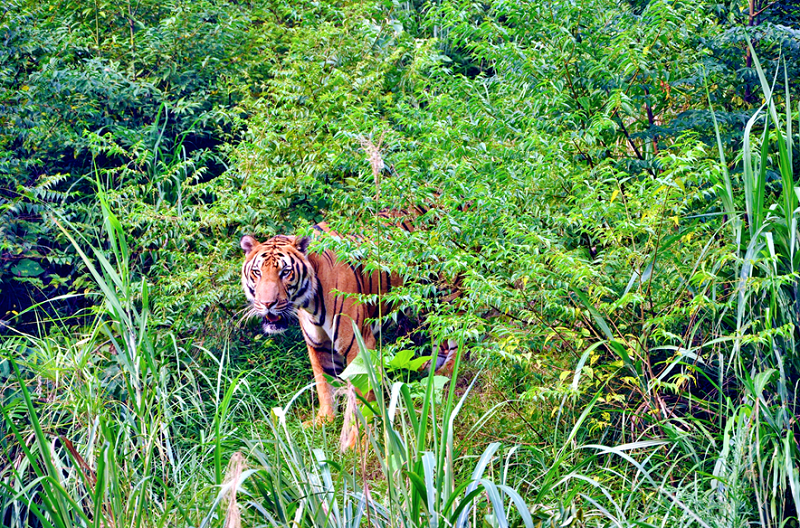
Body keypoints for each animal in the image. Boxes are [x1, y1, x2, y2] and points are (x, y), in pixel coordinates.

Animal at [240, 222, 458, 445]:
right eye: (257, 272)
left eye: (285, 272)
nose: (267, 304)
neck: (309, 303)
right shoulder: (318, 345)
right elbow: (324, 386)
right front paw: (324, 421)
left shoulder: (358, 343)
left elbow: (361, 397)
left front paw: (359, 440)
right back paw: (431, 367)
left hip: (447, 292)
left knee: (458, 331)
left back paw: (447, 373)